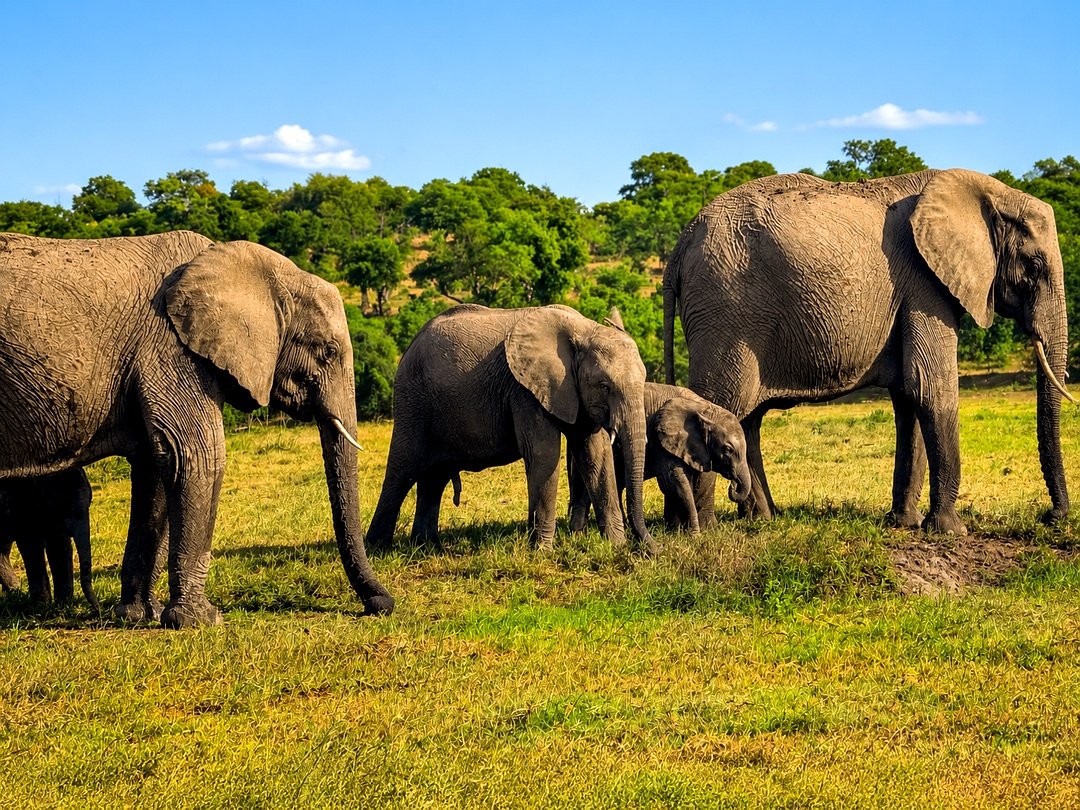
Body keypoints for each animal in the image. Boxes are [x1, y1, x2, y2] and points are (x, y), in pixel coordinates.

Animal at [0, 468, 99, 613]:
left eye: (89, 502)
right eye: (63, 505)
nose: (98, 610)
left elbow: (59, 547)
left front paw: (63, 607)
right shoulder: (22, 506)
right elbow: (32, 547)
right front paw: (42, 609)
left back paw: (15, 592)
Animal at [366, 303, 655, 553]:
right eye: (605, 385)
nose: (651, 549)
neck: (583, 329)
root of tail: (411, 345)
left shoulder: (575, 394)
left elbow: (596, 454)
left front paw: (616, 546)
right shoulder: (524, 389)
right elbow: (544, 454)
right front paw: (542, 552)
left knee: (434, 477)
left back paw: (429, 549)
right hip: (412, 399)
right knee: (402, 470)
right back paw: (377, 549)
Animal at [568, 382, 753, 535]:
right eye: (728, 449)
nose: (734, 485)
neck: (704, 408)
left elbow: (700, 479)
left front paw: (678, 532)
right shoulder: (661, 439)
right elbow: (673, 481)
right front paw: (694, 535)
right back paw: (579, 535)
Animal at [663, 169, 1072, 534]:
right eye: (1034, 265)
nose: (1050, 517)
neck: (986, 190)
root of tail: (680, 246)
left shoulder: (911, 291)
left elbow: (909, 396)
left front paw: (905, 524)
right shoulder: (925, 285)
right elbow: (931, 389)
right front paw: (950, 531)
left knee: (747, 418)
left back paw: (757, 520)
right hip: (726, 313)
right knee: (721, 407)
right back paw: (703, 529)